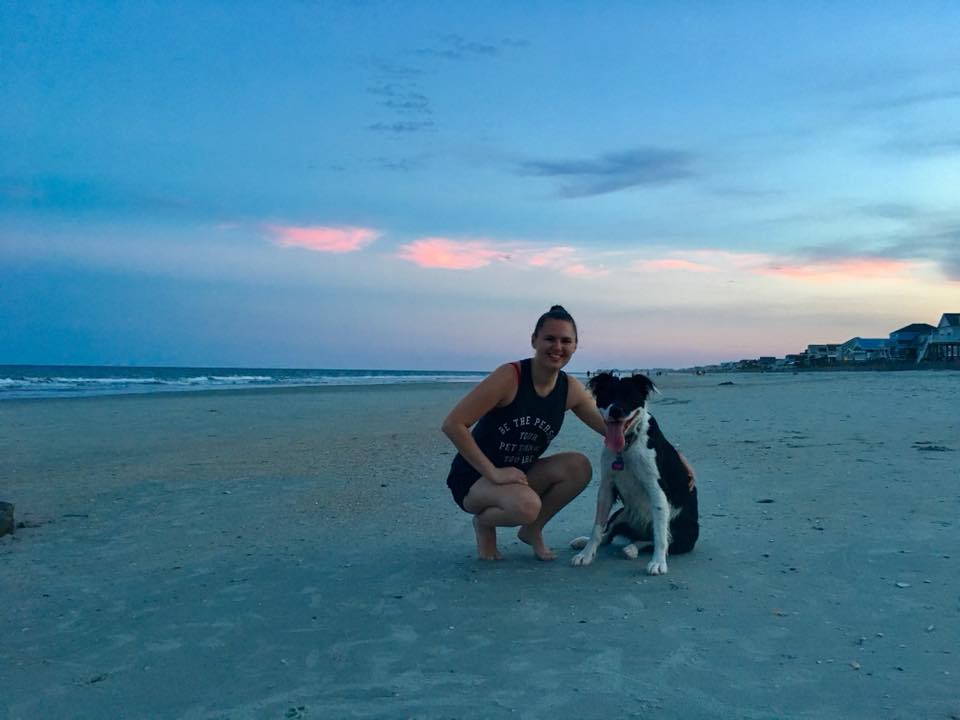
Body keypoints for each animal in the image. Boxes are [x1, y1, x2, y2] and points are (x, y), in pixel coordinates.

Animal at [568, 372, 696, 572]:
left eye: (630, 397)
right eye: (607, 395)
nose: (616, 410)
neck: (627, 445)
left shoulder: (657, 489)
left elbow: (660, 536)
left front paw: (658, 562)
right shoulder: (606, 488)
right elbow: (597, 528)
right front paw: (586, 554)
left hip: (684, 534)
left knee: (659, 539)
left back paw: (632, 549)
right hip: (620, 515)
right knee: (609, 534)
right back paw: (586, 541)